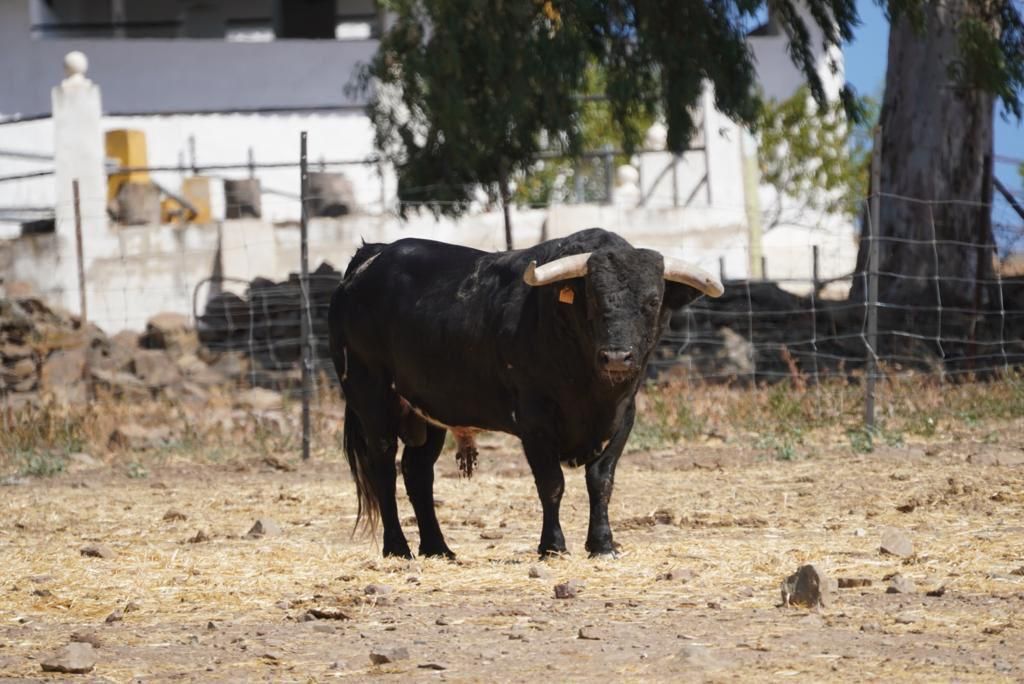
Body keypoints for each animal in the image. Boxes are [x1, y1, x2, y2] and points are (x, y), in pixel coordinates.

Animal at [327, 227, 720, 557]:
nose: (617, 357)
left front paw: (602, 544)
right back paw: (398, 548)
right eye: (593, 299)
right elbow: (551, 483)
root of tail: (372, 256)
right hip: (371, 397)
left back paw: (438, 548)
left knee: (417, 471)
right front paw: (553, 546)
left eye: (652, 302)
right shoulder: (534, 419)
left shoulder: (625, 414)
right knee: (383, 467)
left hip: (427, 409)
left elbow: (601, 479)